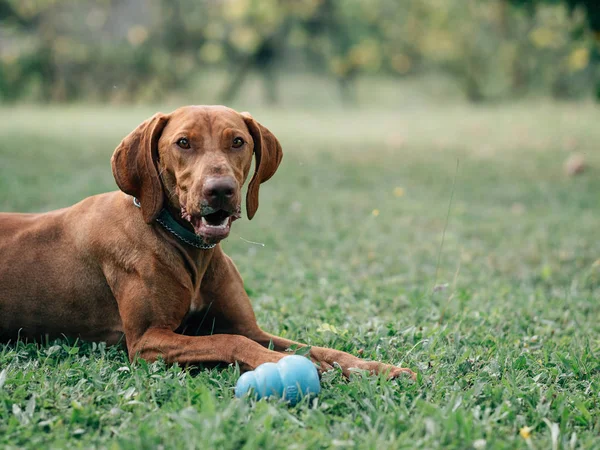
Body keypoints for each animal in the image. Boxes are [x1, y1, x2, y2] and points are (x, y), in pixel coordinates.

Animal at [0, 105, 412, 380]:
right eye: (183, 143)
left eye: (238, 142)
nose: (221, 191)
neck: (184, 245)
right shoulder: (147, 340)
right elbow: (230, 341)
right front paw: (291, 365)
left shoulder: (252, 328)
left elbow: (318, 346)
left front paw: (373, 366)